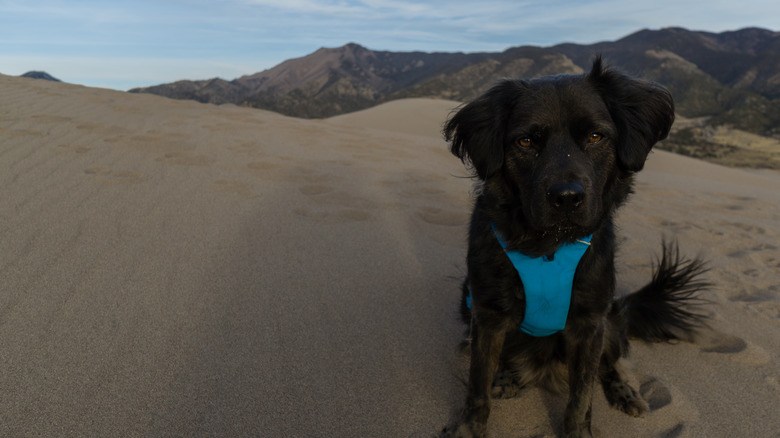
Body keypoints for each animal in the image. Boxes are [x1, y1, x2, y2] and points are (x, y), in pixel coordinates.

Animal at [444, 56, 708, 436]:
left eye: (596, 136)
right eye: (526, 141)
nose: (567, 197)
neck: (548, 247)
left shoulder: (589, 323)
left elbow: (582, 395)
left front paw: (579, 429)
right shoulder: (487, 315)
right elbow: (478, 386)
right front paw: (468, 427)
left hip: (609, 320)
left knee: (609, 365)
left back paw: (625, 392)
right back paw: (508, 377)